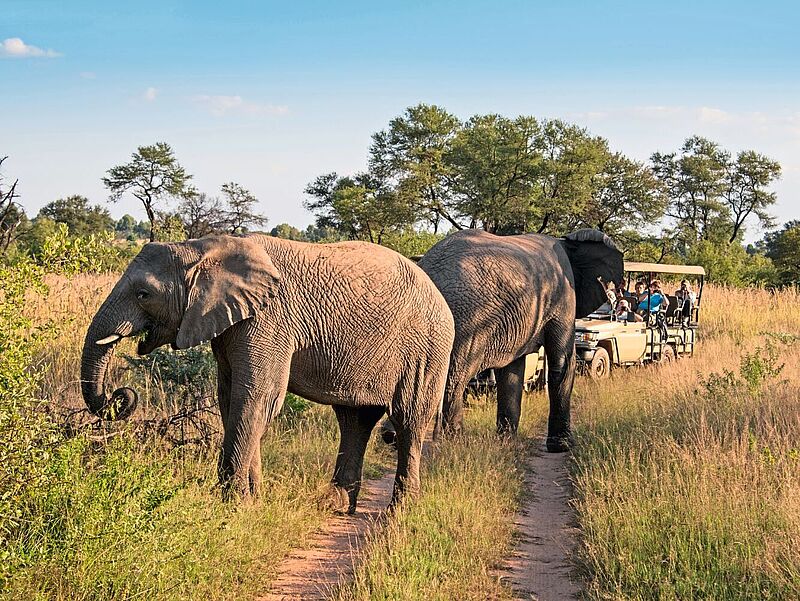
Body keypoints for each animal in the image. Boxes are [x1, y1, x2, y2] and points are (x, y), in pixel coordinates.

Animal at [84, 233, 456, 510]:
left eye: (143, 294)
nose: (120, 395)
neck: (203, 247)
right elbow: (231, 399)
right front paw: (253, 501)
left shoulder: (269, 320)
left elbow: (256, 399)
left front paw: (231, 506)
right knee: (355, 420)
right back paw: (335, 504)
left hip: (428, 349)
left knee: (409, 419)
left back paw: (399, 512)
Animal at [384, 229, 620, 450]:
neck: (567, 243)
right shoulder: (563, 297)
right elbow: (562, 362)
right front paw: (563, 446)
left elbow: (512, 374)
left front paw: (506, 442)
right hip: (468, 320)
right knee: (455, 379)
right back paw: (454, 442)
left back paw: (394, 437)